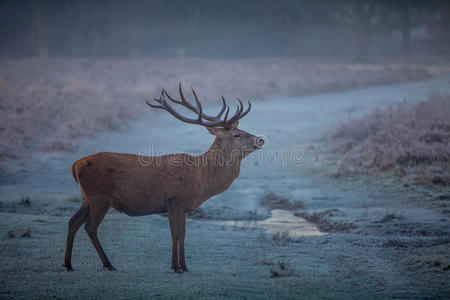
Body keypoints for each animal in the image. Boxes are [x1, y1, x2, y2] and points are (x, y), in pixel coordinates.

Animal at [62, 83, 264, 274]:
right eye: (237, 134)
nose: (261, 140)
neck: (202, 177)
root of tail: (76, 165)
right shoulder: (174, 200)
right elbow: (175, 234)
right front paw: (175, 267)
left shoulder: (183, 207)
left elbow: (183, 235)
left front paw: (184, 266)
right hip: (100, 197)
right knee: (90, 227)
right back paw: (108, 264)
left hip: (87, 198)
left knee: (73, 222)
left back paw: (68, 264)